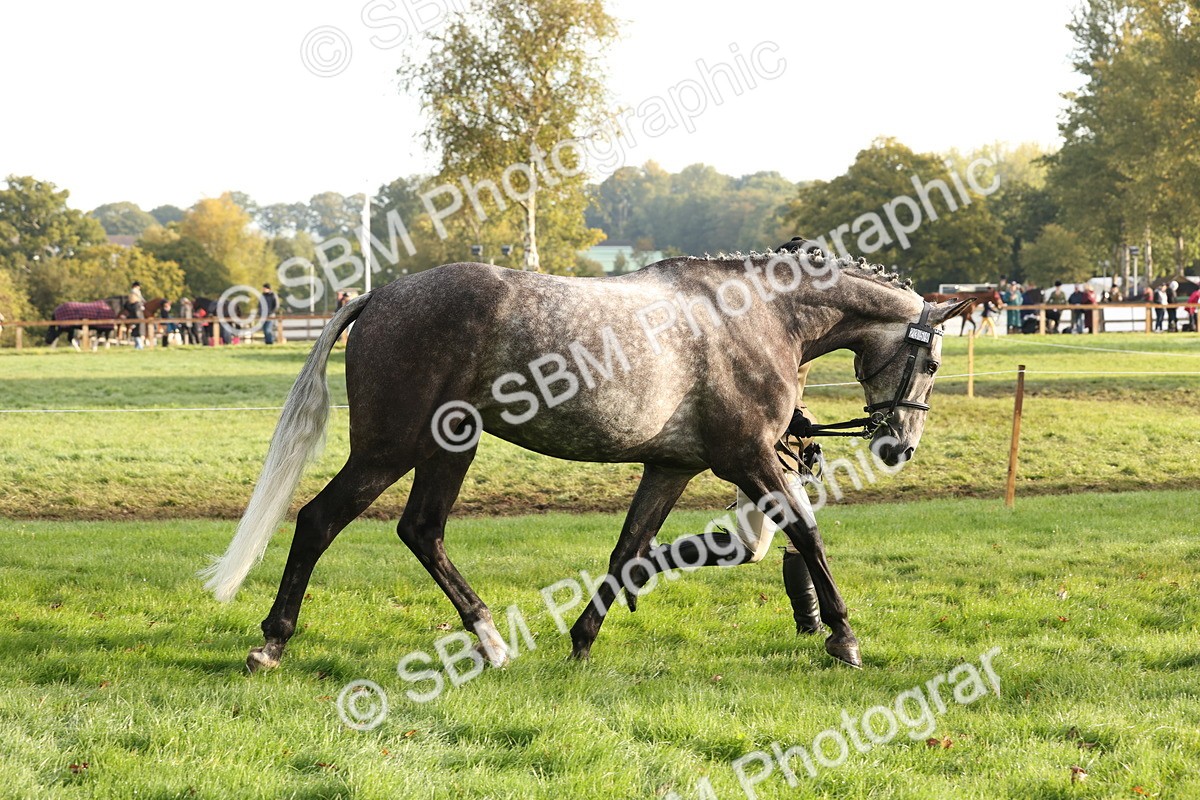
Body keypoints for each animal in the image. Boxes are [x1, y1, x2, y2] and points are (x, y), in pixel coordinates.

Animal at [201, 249, 973, 673]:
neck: (756, 317)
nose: (898, 446)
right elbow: (807, 535)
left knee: (422, 531)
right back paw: (272, 643)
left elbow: (630, 550)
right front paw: (842, 636)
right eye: (932, 362)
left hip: (450, 448)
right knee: (320, 521)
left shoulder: (672, 468)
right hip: (393, 448)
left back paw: (490, 641)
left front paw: (583, 638)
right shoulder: (749, 459)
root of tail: (380, 294)